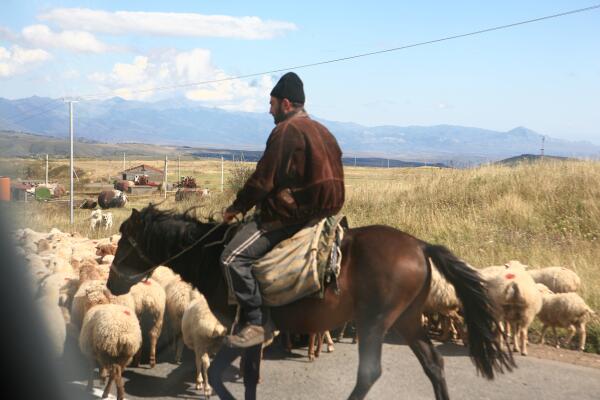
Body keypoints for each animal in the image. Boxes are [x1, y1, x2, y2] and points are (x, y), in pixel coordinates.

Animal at [106, 206, 510, 400]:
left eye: (126, 239)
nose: (111, 282)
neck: (212, 256)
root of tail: (420, 245)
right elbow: (245, 372)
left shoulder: (240, 324)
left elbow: (226, 372)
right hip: (407, 320)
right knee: (433, 364)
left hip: (374, 321)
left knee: (370, 373)